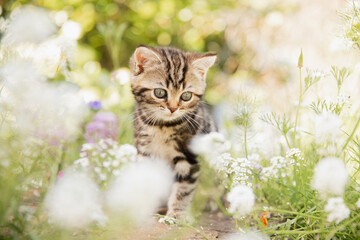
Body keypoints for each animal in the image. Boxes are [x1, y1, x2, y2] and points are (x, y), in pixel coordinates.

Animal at [131, 45, 218, 218]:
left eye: (186, 96)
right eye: (160, 92)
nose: (172, 108)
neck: (163, 126)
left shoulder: (190, 158)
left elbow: (184, 188)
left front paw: (177, 213)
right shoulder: (145, 153)